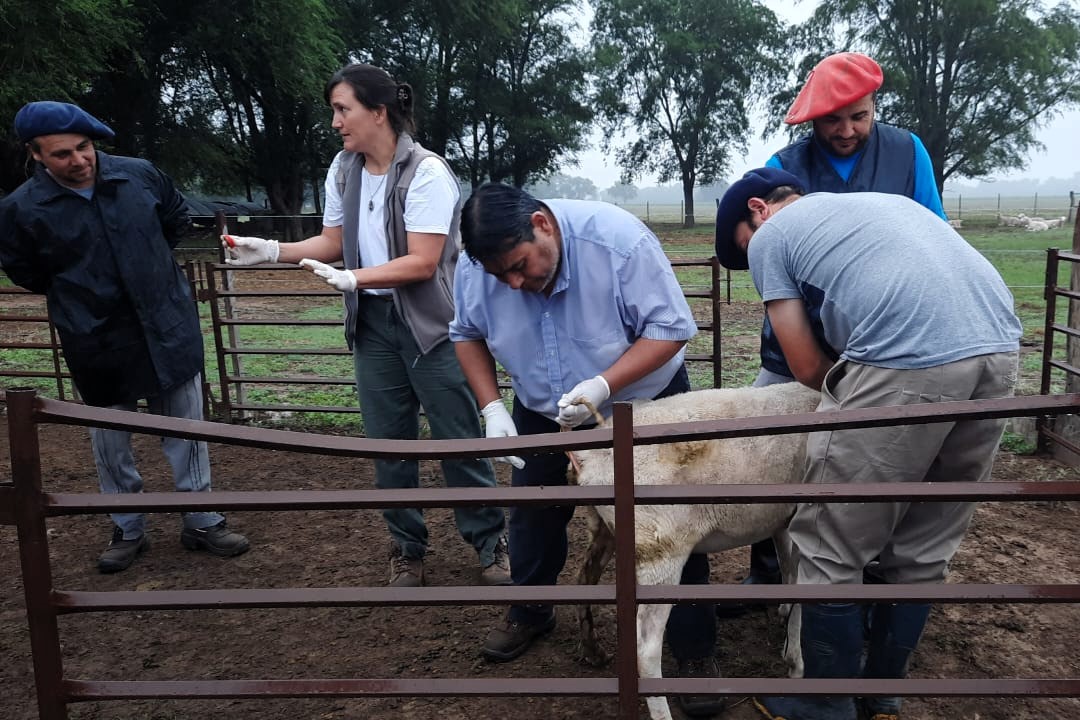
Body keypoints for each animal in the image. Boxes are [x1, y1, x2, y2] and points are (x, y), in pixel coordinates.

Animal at [574, 382, 816, 720]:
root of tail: (589, 458)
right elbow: (802, 588)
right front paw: (796, 662)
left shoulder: (782, 520)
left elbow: (790, 576)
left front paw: (784, 623)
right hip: (660, 549)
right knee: (645, 648)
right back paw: (662, 712)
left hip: (606, 531)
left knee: (583, 582)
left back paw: (593, 650)